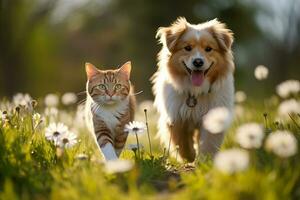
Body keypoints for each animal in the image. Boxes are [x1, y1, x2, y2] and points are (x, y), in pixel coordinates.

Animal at [152, 16, 234, 162]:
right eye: (187, 48)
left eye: (208, 48)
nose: (198, 62)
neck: (196, 91)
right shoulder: (176, 118)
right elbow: (182, 142)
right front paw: (190, 156)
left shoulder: (212, 117)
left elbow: (208, 143)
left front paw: (204, 161)